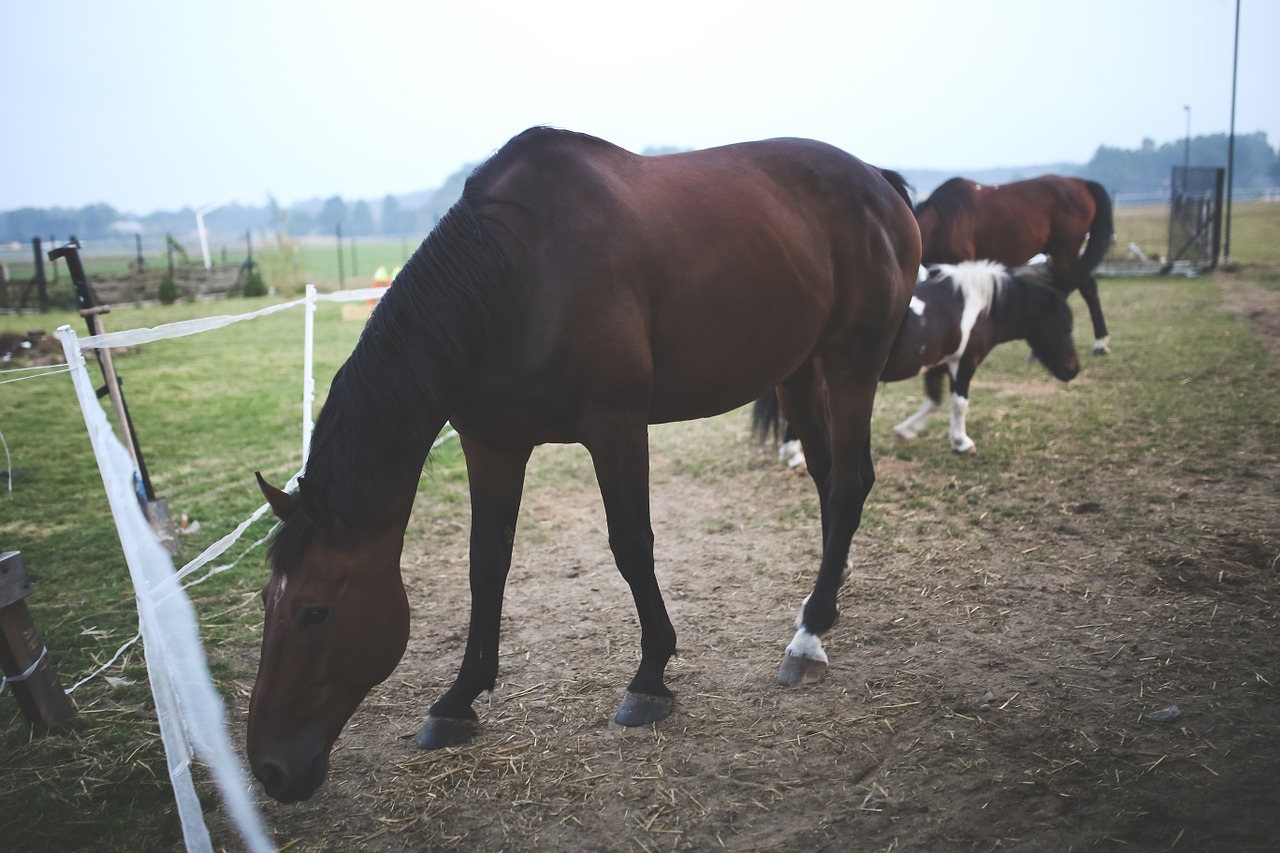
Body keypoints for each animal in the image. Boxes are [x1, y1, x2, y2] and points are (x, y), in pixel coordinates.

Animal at [244, 124, 921, 799]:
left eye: (314, 612)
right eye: (266, 603)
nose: (271, 769)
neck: (518, 275)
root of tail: (877, 181)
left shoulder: (615, 428)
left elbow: (631, 546)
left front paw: (650, 678)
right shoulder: (492, 444)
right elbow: (486, 564)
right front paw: (459, 698)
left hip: (851, 362)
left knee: (850, 481)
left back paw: (807, 637)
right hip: (799, 372)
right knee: (827, 476)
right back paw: (827, 596)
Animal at [885, 261, 1085, 450]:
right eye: (1065, 327)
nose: (1073, 369)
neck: (977, 307)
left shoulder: (937, 365)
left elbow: (933, 402)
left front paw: (905, 432)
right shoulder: (964, 363)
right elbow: (960, 404)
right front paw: (962, 442)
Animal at [916, 175, 1116, 356]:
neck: (941, 220)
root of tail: (1081, 183)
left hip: (1064, 252)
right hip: (1069, 252)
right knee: (1088, 286)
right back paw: (1100, 343)